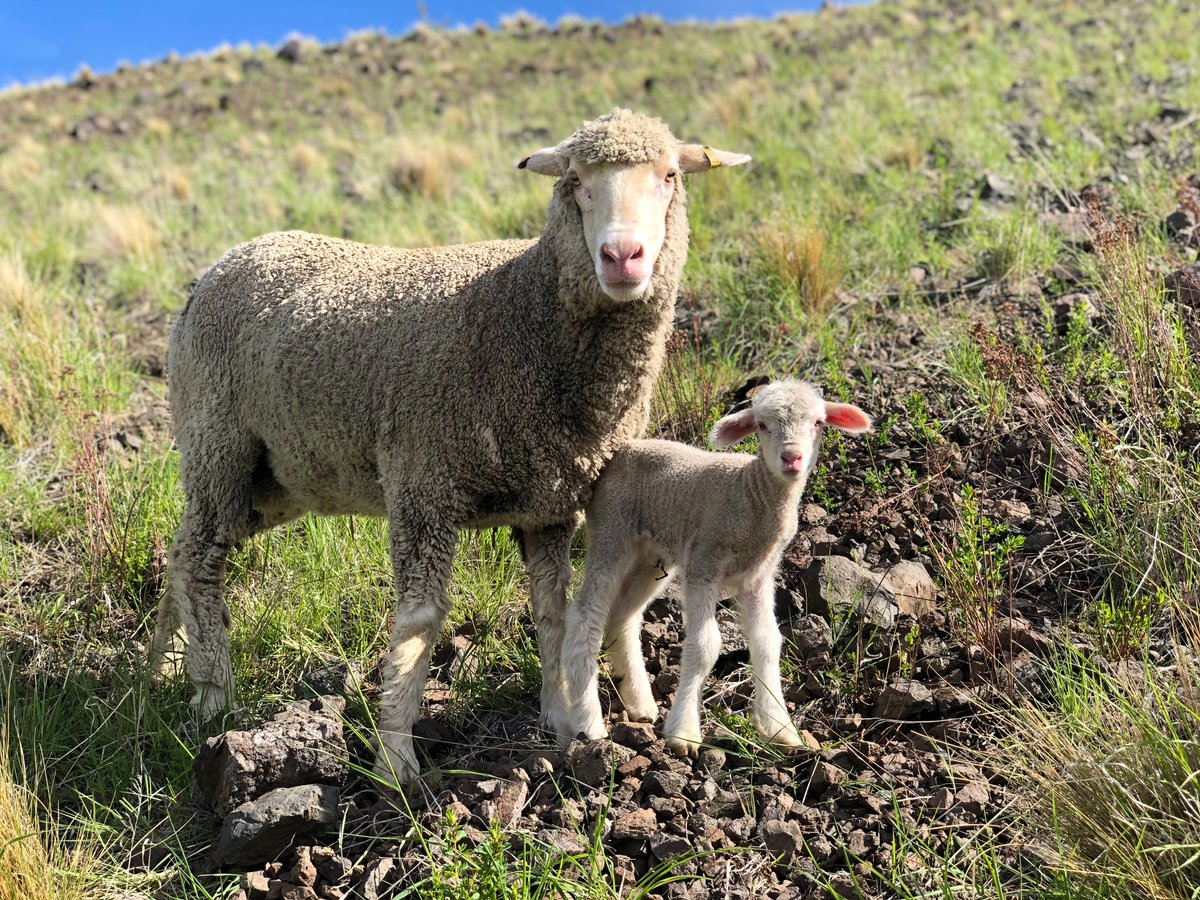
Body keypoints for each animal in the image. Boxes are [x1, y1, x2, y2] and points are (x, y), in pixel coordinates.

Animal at [147, 108, 751, 784]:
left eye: (669, 176)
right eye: (575, 181)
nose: (622, 255)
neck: (524, 314)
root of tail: (216, 269)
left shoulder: (549, 504)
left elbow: (551, 611)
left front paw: (559, 719)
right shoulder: (422, 483)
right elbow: (420, 622)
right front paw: (395, 758)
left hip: (273, 479)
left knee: (182, 552)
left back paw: (161, 669)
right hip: (217, 443)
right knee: (202, 562)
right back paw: (212, 696)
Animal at [561, 381, 871, 756]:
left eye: (818, 423)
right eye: (762, 425)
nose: (791, 458)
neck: (751, 493)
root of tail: (621, 449)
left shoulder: (758, 576)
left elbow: (768, 642)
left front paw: (779, 729)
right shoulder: (703, 564)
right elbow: (704, 646)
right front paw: (683, 733)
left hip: (651, 553)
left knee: (623, 616)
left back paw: (639, 703)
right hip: (611, 532)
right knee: (584, 615)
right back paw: (587, 722)